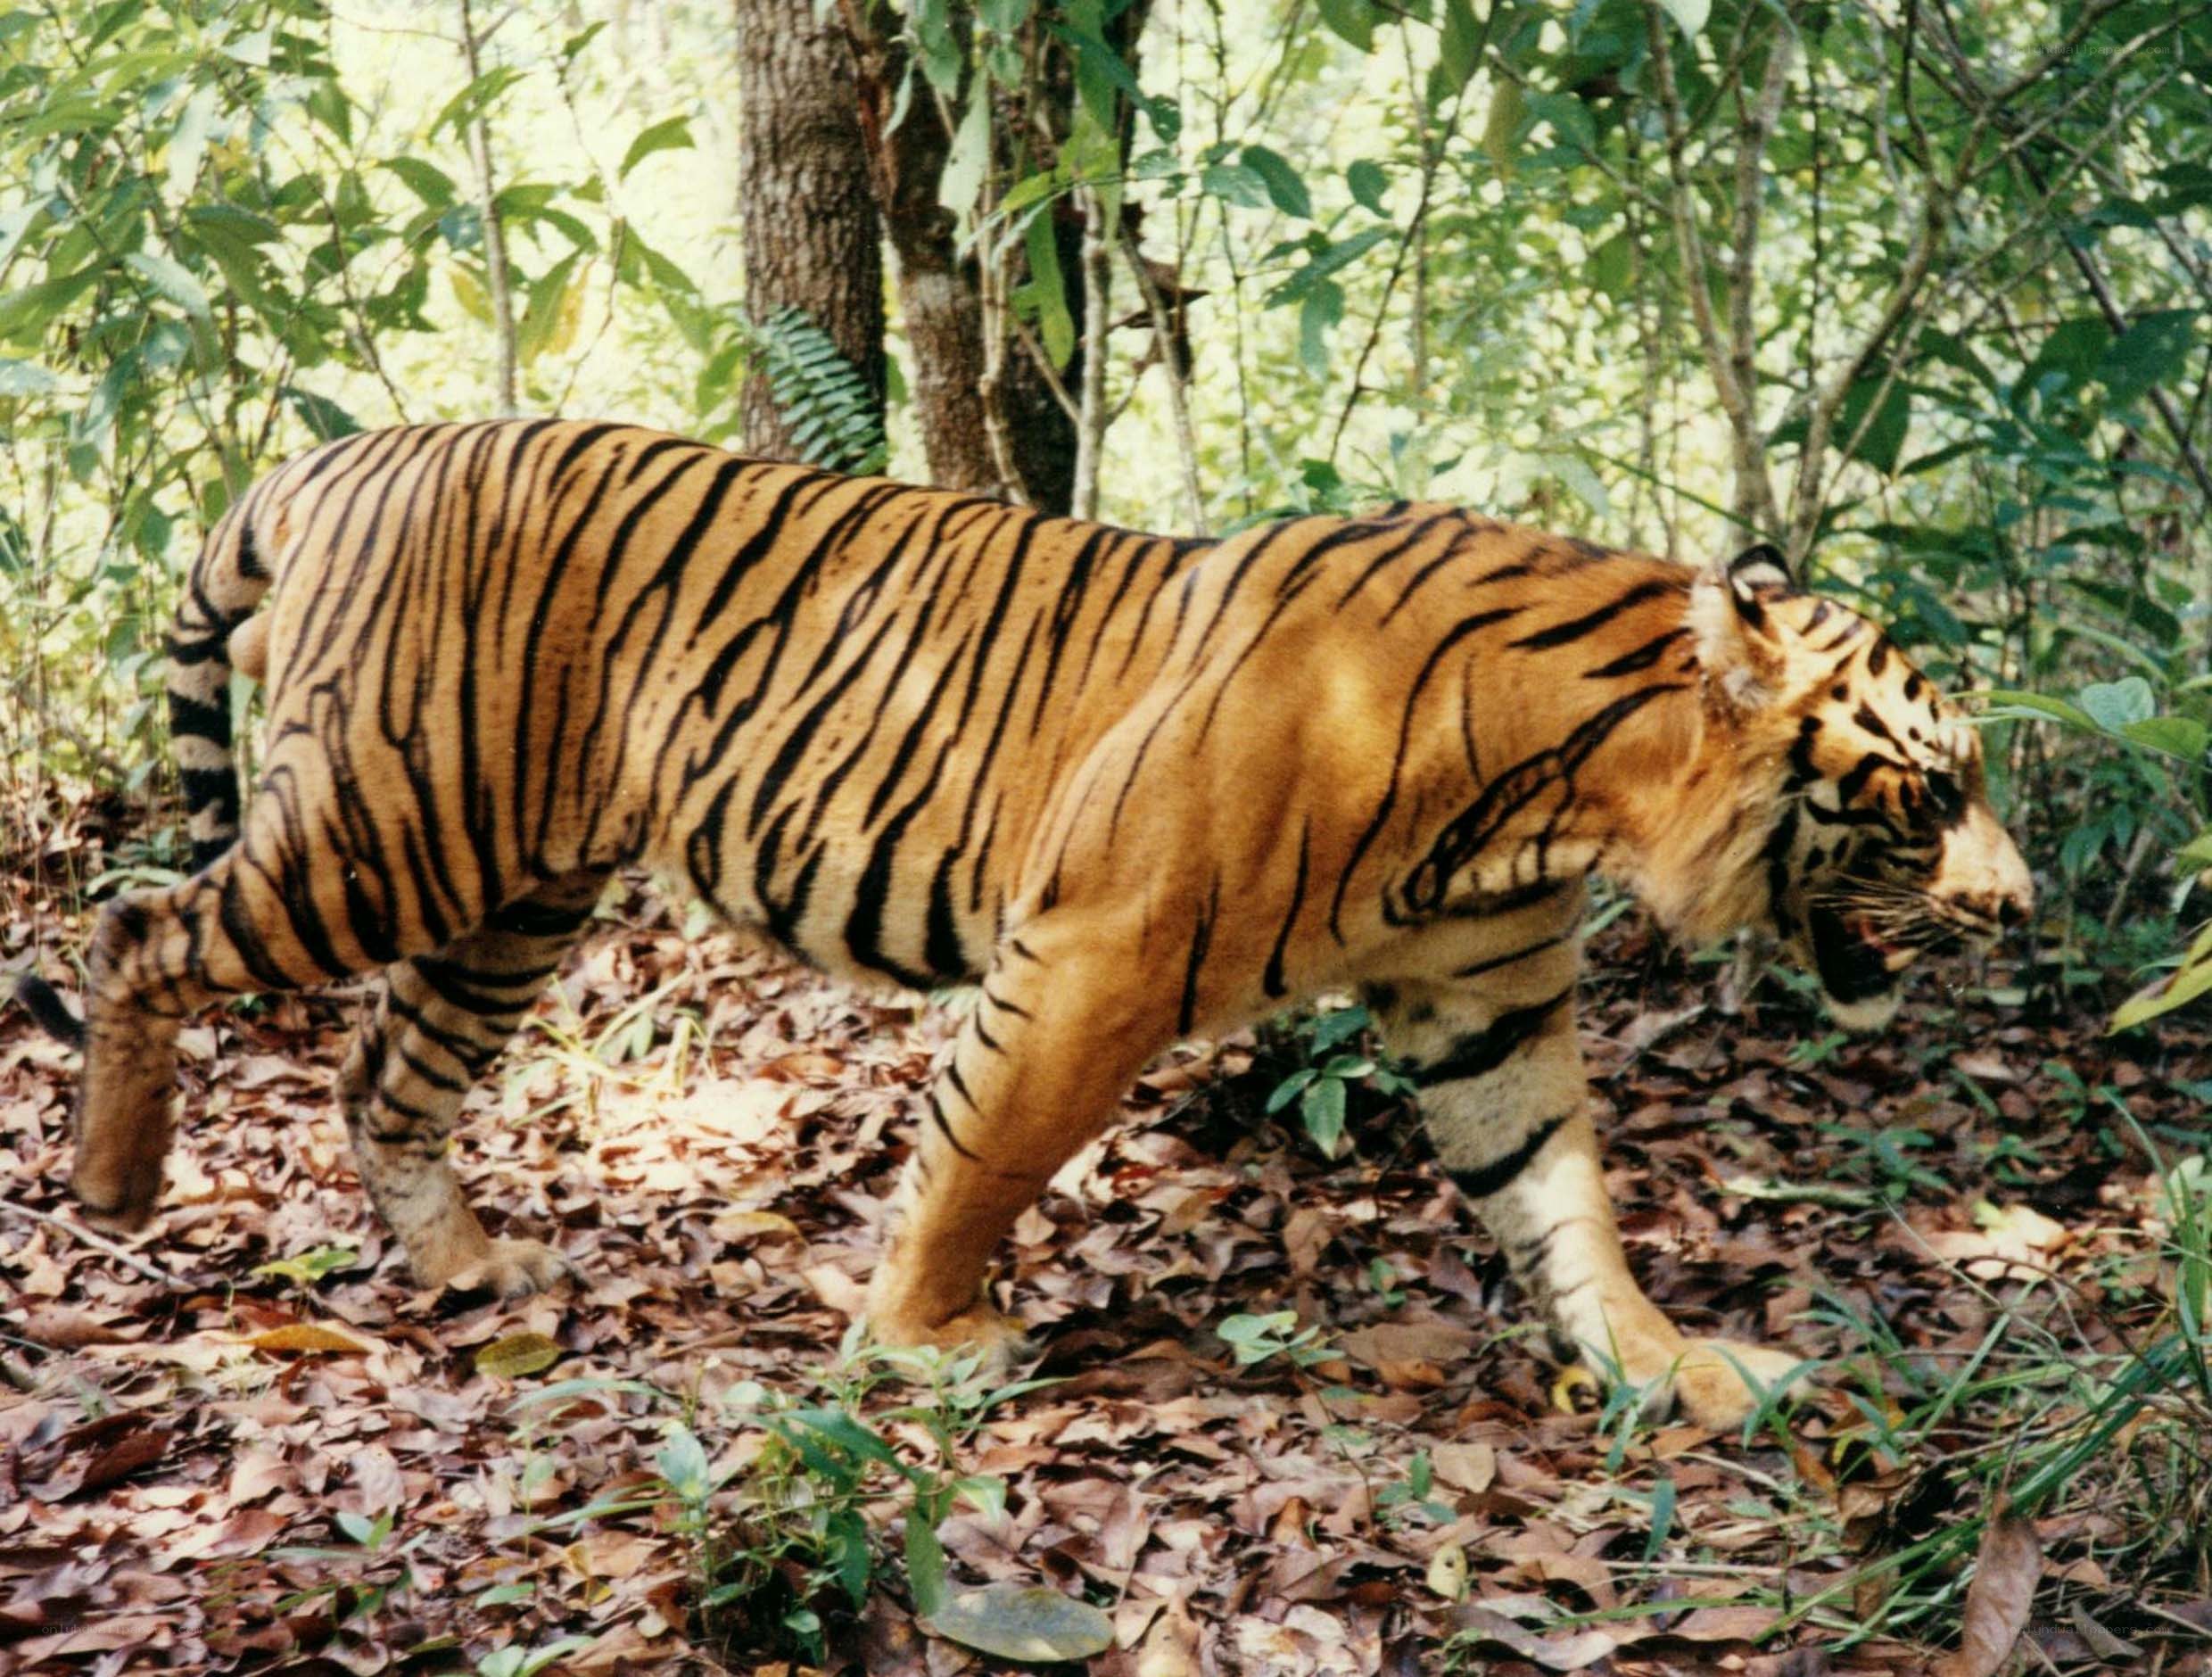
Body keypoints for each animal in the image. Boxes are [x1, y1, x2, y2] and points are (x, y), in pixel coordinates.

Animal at [15, 419, 2031, 1428]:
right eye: (1935, 791)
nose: (2021, 907)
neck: (1559, 797)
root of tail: (334, 452)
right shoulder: (1096, 953)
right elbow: (984, 1155)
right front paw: (920, 1347)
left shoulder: (1485, 1004)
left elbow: (1559, 1197)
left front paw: (1667, 1368)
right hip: (381, 832)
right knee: (132, 928)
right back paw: (115, 1189)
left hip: (513, 885)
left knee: (384, 1068)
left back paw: (462, 1268)